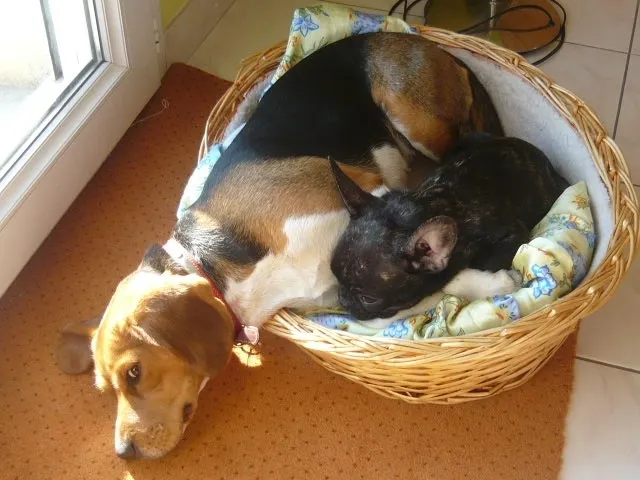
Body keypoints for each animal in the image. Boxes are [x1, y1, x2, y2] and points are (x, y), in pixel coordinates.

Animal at [56, 32, 507, 459]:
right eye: (106, 389)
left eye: (134, 373)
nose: (124, 452)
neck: (218, 261)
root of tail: (427, 43)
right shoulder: (333, 296)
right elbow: (407, 298)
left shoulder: (370, 191)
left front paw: (493, 283)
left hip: (415, 117)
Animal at [330, 134, 569, 321]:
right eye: (334, 276)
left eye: (368, 299)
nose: (343, 301)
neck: (425, 205)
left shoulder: (512, 234)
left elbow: (481, 264)